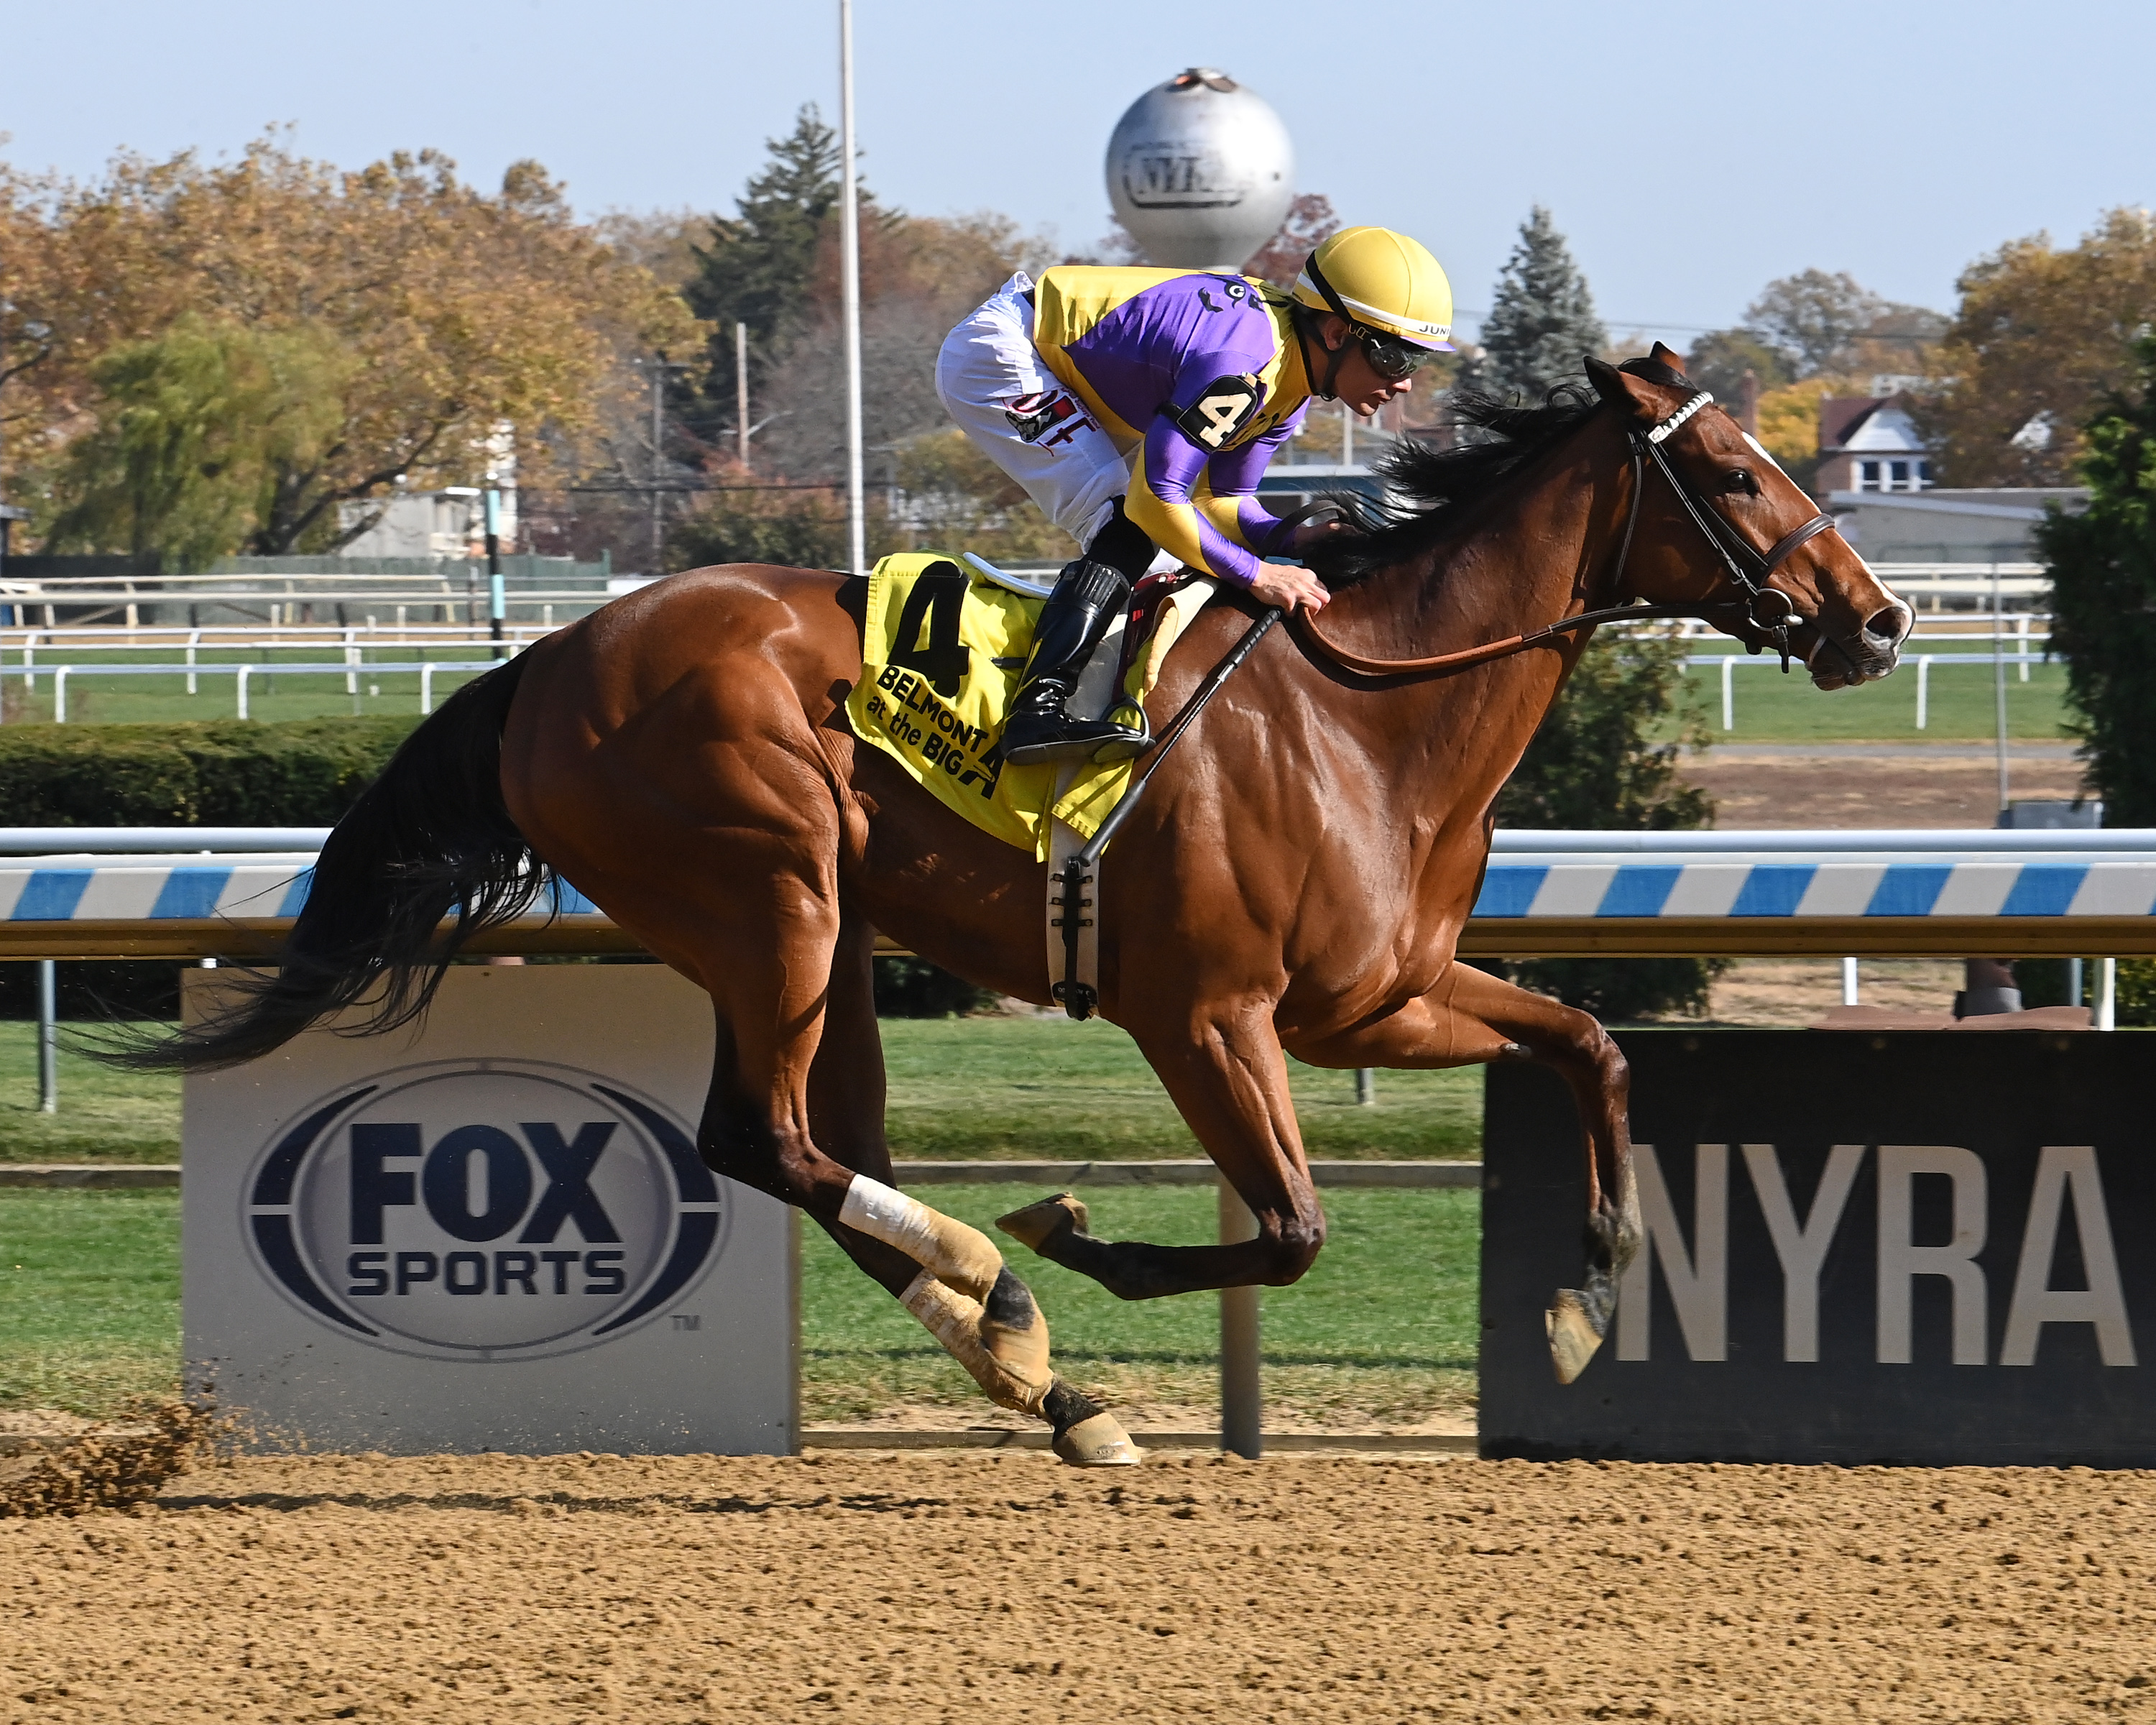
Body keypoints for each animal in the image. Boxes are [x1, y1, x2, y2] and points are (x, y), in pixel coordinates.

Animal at [154, 347, 1909, 1464]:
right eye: (1737, 472)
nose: (1879, 622)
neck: (1369, 716)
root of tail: (541, 662)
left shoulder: (1383, 999)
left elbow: (1591, 1047)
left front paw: (1586, 1300)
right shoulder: (1205, 1015)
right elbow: (1290, 1229)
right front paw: (1071, 1235)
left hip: (824, 941)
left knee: (813, 1147)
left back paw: (1041, 1382)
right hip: (773, 897)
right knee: (765, 1140)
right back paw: (1003, 1296)